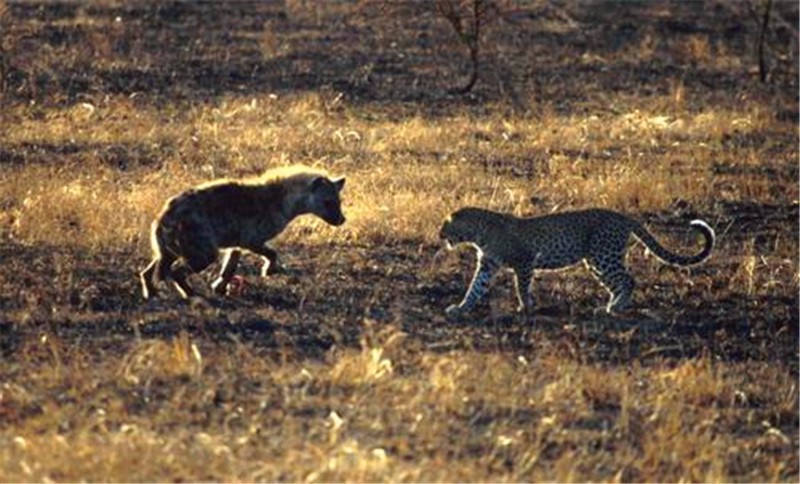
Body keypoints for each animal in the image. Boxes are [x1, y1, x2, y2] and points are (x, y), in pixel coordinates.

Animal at [440, 207, 716, 318]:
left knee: (628, 279)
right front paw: (460, 308)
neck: (478, 234)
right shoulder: (487, 264)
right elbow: (475, 288)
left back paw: (615, 308)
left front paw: (525, 307)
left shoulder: (525, 261)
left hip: (603, 255)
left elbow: (522, 287)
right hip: (596, 261)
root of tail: (624, 217)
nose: (440, 234)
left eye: (445, 224)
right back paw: (608, 306)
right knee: (617, 283)